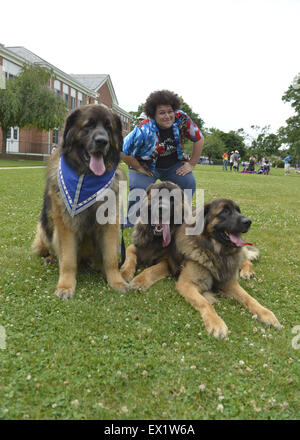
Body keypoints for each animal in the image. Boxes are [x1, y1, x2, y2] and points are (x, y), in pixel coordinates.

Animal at [32, 105, 127, 300]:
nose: (102, 141)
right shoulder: (66, 224)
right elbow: (68, 260)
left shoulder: (110, 223)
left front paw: (116, 281)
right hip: (44, 228)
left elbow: (111, 258)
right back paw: (51, 258)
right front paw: (66, 286)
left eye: (109, 127)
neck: (87, 177)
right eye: (88, 125)